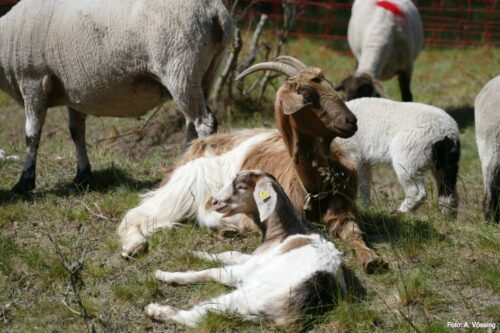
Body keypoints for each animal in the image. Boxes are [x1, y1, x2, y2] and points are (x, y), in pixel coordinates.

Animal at [0, 0, 233, 193]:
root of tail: (215, 10)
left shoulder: (32, 79)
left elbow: (32, 135)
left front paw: (24, 183)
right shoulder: (73, 90)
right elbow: (76, 132)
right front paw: (82, 176)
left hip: (180, 68)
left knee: (203, 123)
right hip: (205, 75)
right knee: (191, 124)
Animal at [117, 55, 386, 272]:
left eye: (331, 86)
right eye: (308, 95)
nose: (351, 121)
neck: (312, 187)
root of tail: (196, 146)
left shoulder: (344, 209)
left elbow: (354, 233)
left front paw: (371, 259)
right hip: (186, 185)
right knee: (140, 214)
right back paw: (134, 246)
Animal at [145, 170, 348, 328]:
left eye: (242, 187)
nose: (214, 201)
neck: (287, 229)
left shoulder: (246, 270)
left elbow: (211, 272)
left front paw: (164, 274)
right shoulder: (255, 257)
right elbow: (229, 253)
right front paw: (189, 253)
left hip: (248, 295)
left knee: (202, 315)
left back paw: (157, 310)